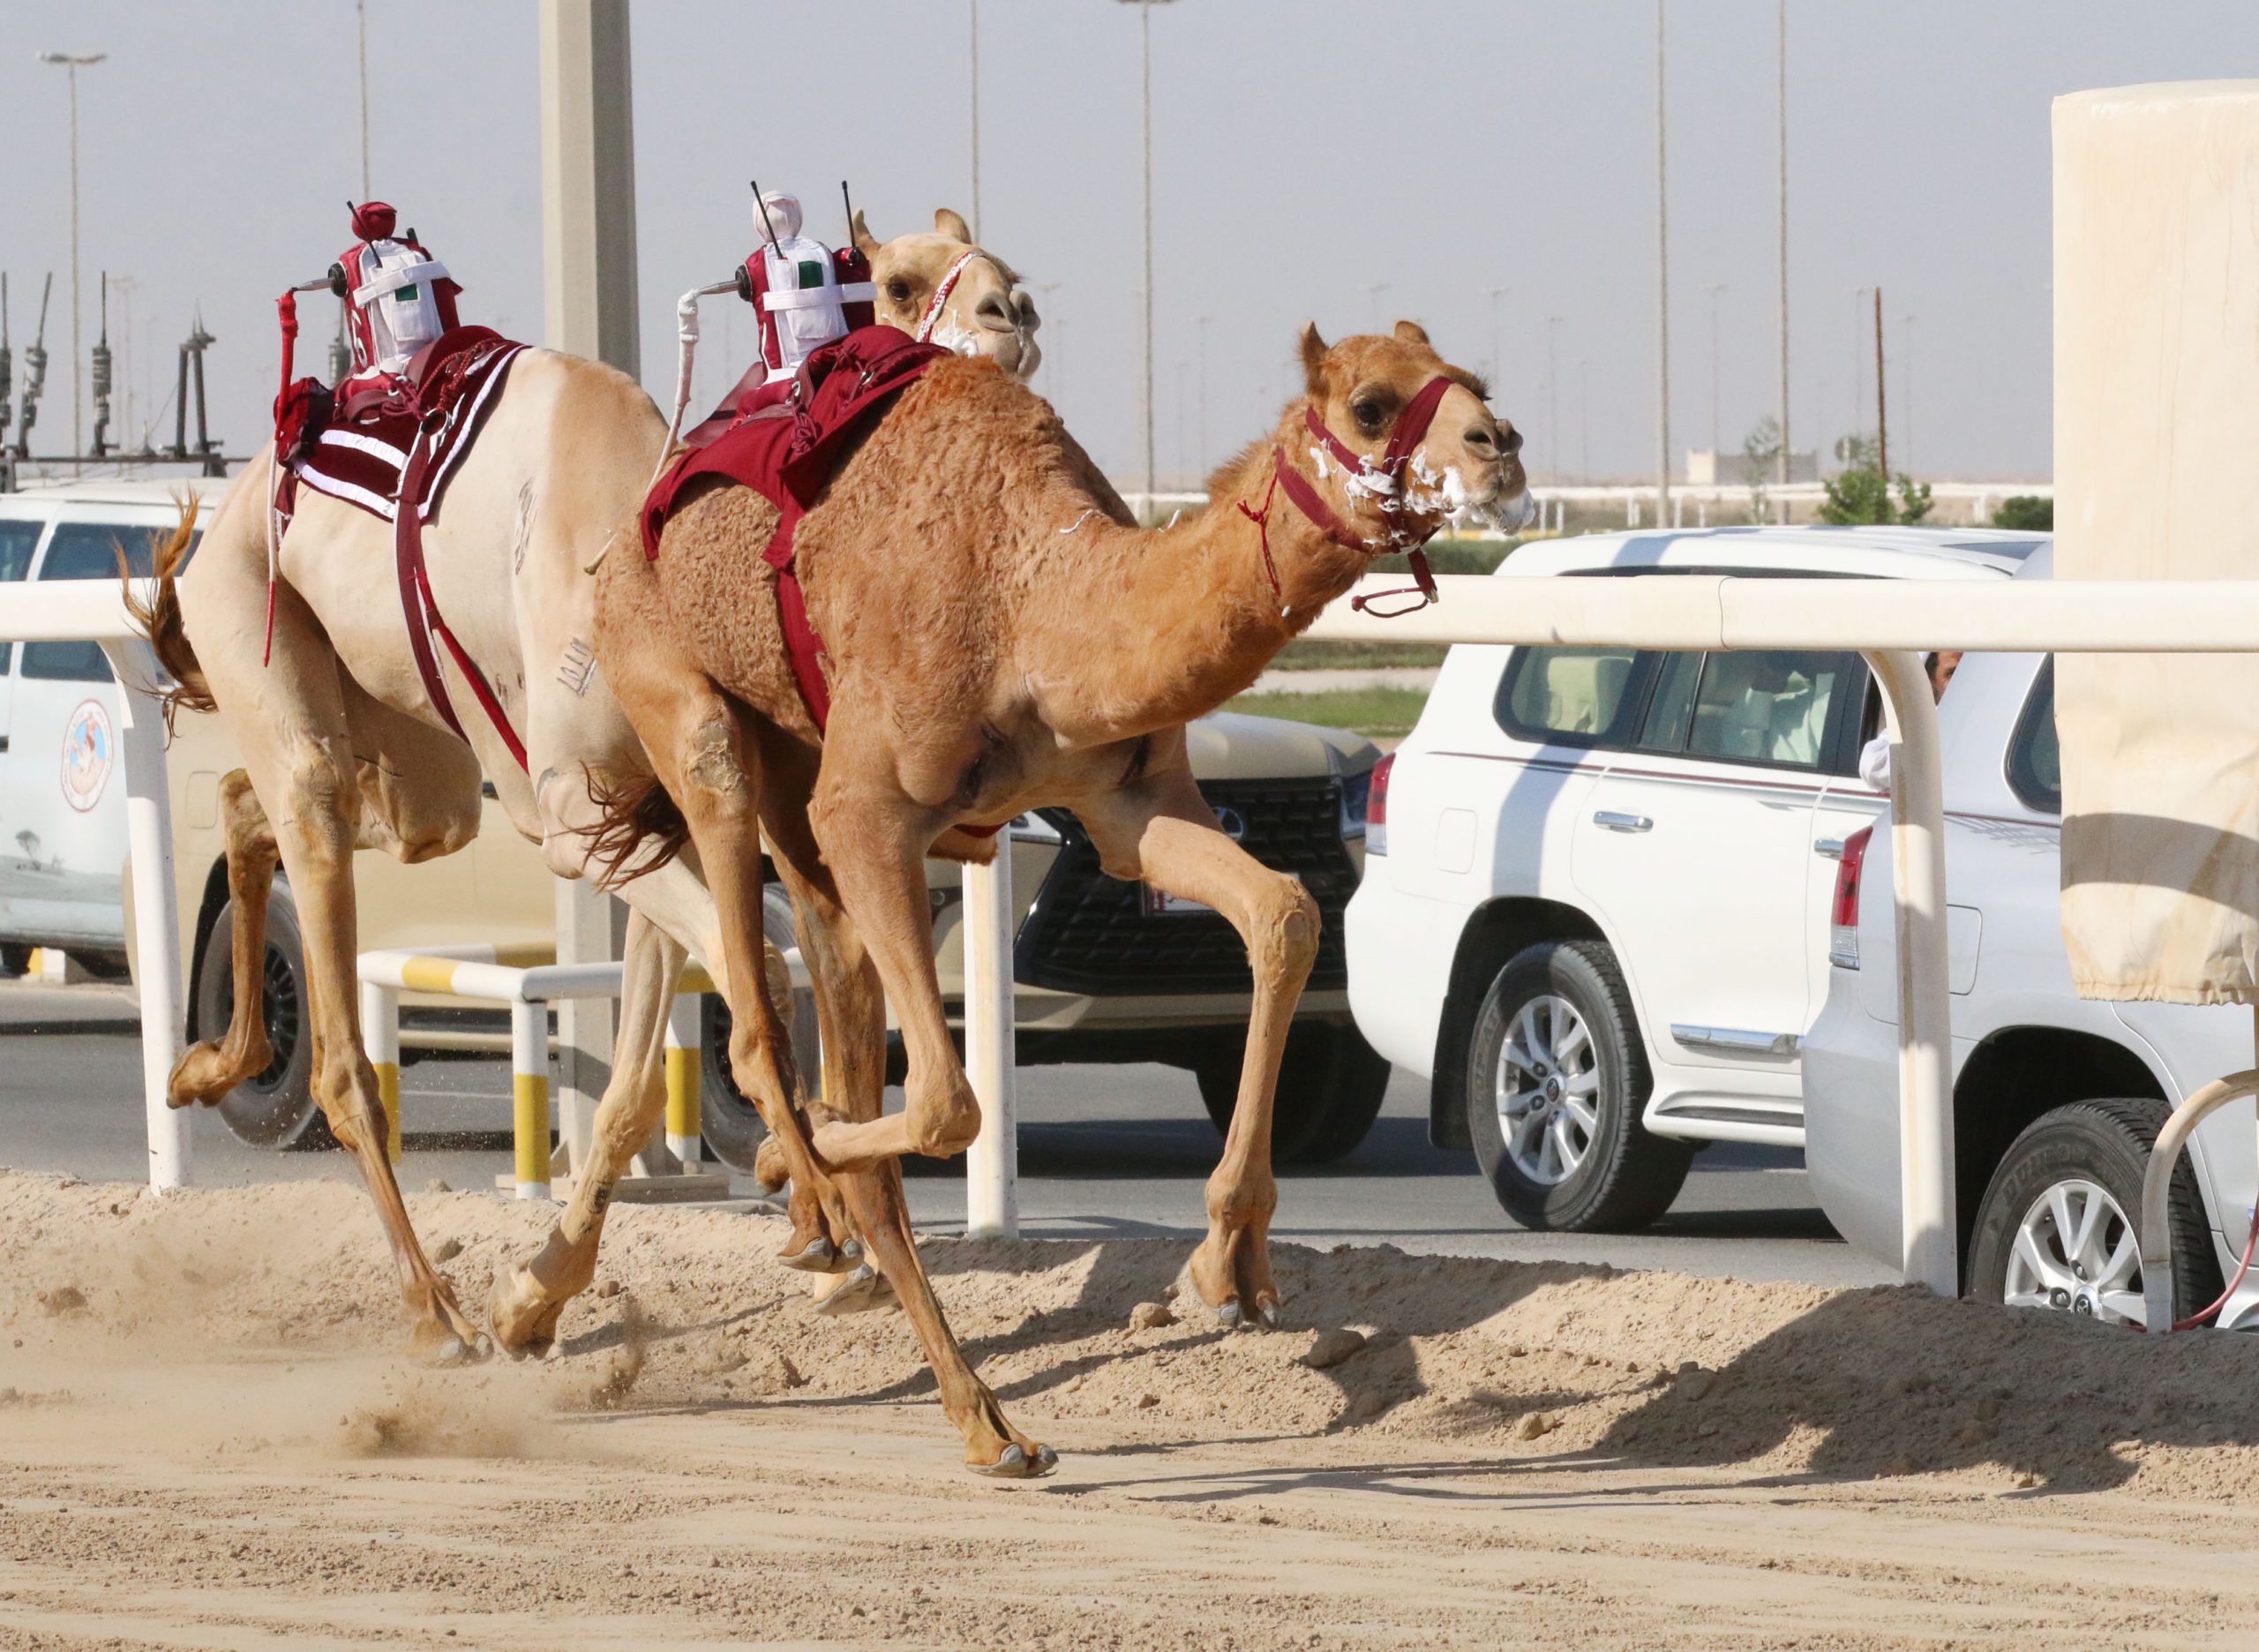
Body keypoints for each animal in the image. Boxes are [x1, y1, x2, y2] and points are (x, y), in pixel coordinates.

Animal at [143, 214, 1047, 1364]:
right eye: (891, 281)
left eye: (1005, 271)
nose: (1012, 315)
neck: (627, 551)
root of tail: (234, 501)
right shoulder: (579, 820)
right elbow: (753, 985)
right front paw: (819, 1216)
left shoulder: (649, 817)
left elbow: (633, 1080)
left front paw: (538, 1296)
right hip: (253, 617)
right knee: (338, 1028)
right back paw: (431, 1311)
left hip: (421, 776)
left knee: (265, 803)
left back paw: (204, 1067)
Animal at [591, 323, 1527, 1473]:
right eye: (1368, 404)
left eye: (1473, 382)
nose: (1499, 448)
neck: (1034, 609)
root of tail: (623, 536)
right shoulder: (866, 810)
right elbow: (946, 1103)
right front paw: (788, 1154)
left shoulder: (1127, 802)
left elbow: (1285, 915)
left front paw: (1227, 1268)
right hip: (680, 701)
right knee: (761, 1009)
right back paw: (829, 1228)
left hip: (792, 771)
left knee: (829, 1013)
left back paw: (969, 1401)